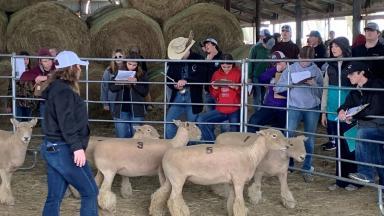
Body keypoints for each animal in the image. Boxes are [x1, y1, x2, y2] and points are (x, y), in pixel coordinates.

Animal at [148, 128, 290, 216]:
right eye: (274, 135)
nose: (288, 146)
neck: (251, 155)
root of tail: (166, 155)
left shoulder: (232, 182)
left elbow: (232, 201)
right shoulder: (239, 180)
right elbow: (239, 202)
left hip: (170, 179)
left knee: (159, 194)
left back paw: (155, 212)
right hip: (177, 179)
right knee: (172, 201)